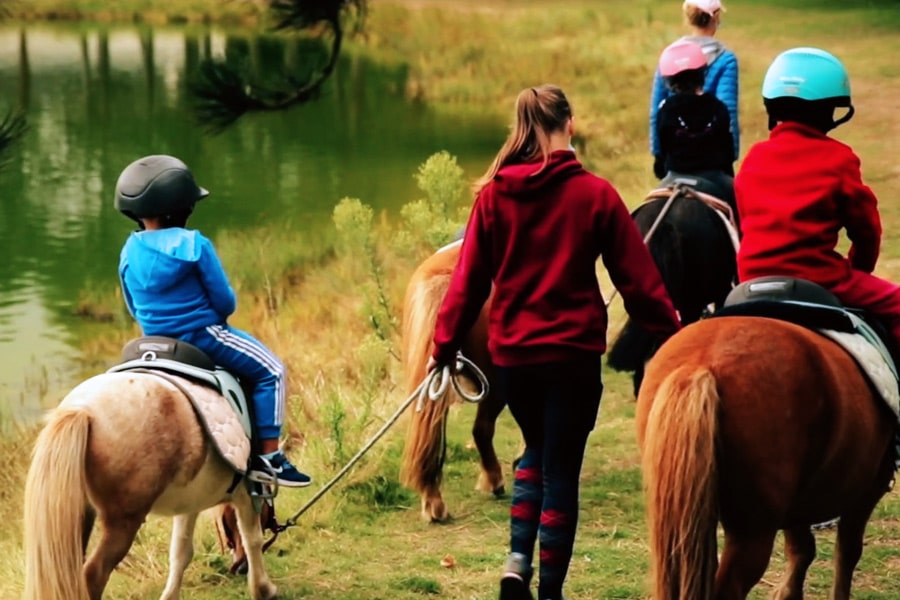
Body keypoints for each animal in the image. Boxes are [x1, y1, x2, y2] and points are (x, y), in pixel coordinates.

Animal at [22, 370, 276, 600]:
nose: (240, 568)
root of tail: (82, 409)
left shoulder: (190, 502)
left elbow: (181, 552)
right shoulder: (246, 494)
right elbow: (252, 539)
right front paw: (263, 590)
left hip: (77, 519)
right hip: (123, 522)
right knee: (93, 575)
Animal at [636, 316, 896, 596]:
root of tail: (702, 363)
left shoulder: (797, 505)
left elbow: (802, 550)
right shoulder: (867, 492)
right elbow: (846, 553)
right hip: (753, 531)